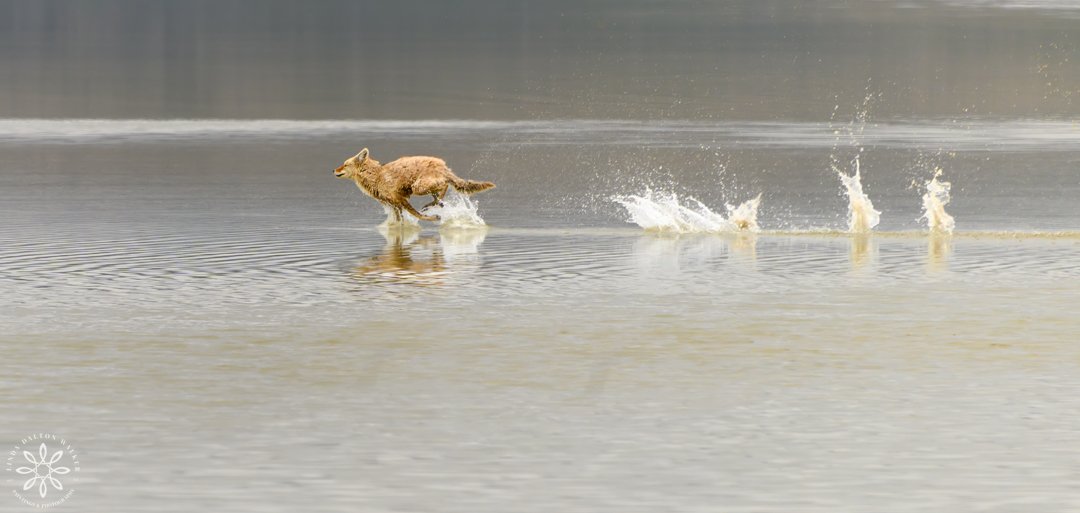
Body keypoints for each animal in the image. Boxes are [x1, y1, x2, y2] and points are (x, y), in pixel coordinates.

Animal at [333, 148, 495, 223]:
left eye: (345, 164)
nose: (333, 170)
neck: (376, 176)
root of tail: (443, 165)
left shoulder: (401, 200)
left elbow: (418, 215)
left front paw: (434, 217)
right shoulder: (395, 205)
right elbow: (400, 222)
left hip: (418, 187)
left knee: (444, 185)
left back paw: (436, 204)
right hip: (422, 187)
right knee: (441, 190)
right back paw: (436, 203)